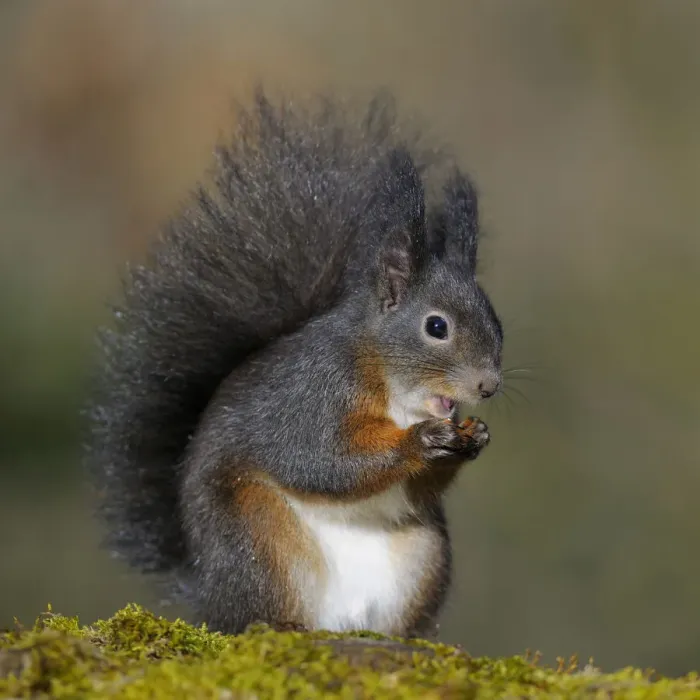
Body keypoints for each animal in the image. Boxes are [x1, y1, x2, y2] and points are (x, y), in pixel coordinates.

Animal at [86, 91, 503, 639]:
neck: (391, 384)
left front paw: (473, 439)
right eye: (437, 327)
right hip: (257, 538)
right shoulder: (311, 396)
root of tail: (207, 591)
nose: (490, 385)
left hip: (423, 553)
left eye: (497, 319)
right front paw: (419, 442)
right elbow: (321, 459)